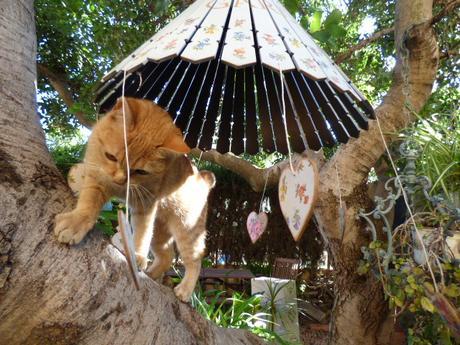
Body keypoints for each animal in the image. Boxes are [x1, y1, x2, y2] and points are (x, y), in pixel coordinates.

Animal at [55, 97, 216, 300]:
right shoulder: (96, 180)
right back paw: (153, 275)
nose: (120, 180)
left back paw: (185, 290)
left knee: (195, 260)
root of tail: (202, 178)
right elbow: (88, 205)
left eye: (140, 171)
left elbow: (141, 231)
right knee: (167, 256)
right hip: (161, 233)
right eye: (111, 157)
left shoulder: (145, 205)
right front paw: (76, 222)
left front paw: (137, 254)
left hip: (186, 231)